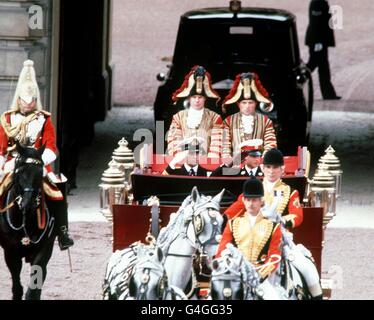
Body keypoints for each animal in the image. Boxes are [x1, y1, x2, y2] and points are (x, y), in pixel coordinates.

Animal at [0, 143, 57, 300]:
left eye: (40, 172)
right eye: (20, 172)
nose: (28, 205)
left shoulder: (44, 250)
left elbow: (33, 291)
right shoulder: (10, 252)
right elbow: (17, 287)